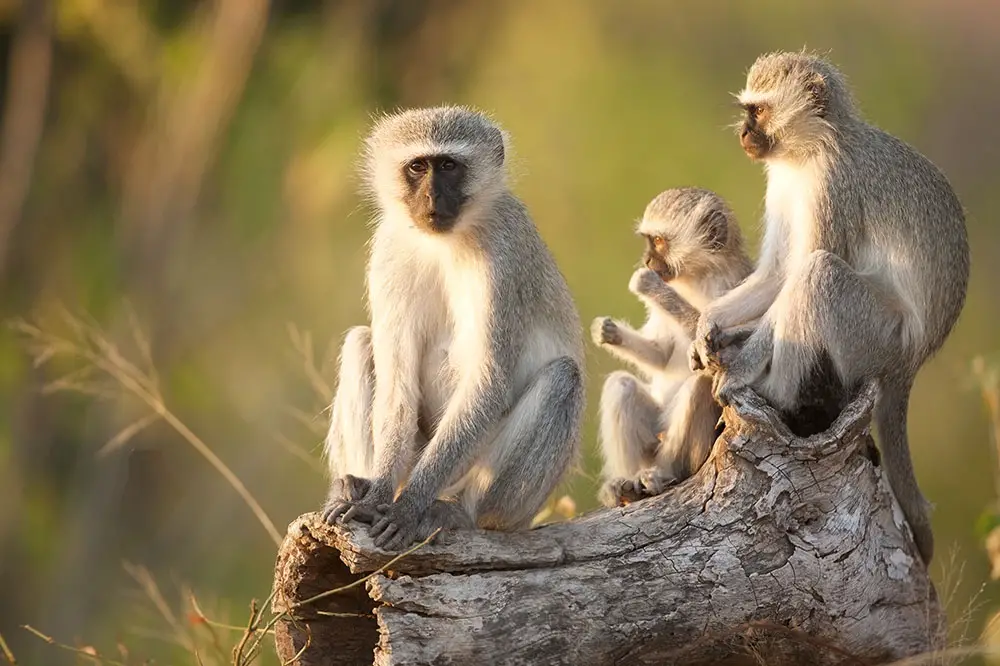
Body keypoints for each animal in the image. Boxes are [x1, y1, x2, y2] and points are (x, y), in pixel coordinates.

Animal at [320, 104, 584, 548]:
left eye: (448, 166)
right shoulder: (388, 249)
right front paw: (376, 496)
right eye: (417, 167)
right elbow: (397, 385)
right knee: (360, 341)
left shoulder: (503, 256)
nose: (431, 197)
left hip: (499, 492)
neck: (442, 243)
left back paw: (458, 511)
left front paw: (408, 508)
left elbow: (489, 381)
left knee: (563, 377)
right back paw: (357, 484)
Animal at [592, 189, 752, 506]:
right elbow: (662, 354)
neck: (697, 276)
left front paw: (648, 285)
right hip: (653, 439)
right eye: (648, 240)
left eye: (658, 241)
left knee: (698, 387)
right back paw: (625, 484)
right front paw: (608, 332)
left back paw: (662, 474)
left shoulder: (735, 286)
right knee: (620, 386)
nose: (646, 261)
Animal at [692, 50, 964, 564]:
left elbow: (800, 272)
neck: (809, 151)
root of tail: (913, 359)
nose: (743, 133)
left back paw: (775, 393)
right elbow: (778, 272)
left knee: (819, 274)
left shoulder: (832, 185)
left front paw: (741, 369)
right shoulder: (781, 181)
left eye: (758, 111)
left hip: (876, 338)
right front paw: (708, 324)